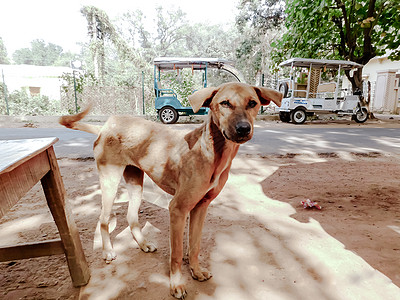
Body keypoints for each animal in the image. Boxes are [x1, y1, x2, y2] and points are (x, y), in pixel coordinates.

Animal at [58, 81, 282, 298]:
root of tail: (105, 126)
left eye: (252, 103)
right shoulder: (178, 209)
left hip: (135, 182)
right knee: (103, 219)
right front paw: (176, 284)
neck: (212, 153)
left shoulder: (201, 206)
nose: (243, 129)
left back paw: (143, 244)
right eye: (225, 103)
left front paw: (196, 271)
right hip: (110, 179)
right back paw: (108, 252)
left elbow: (194, 245)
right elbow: (177, 253)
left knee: (131, 217)